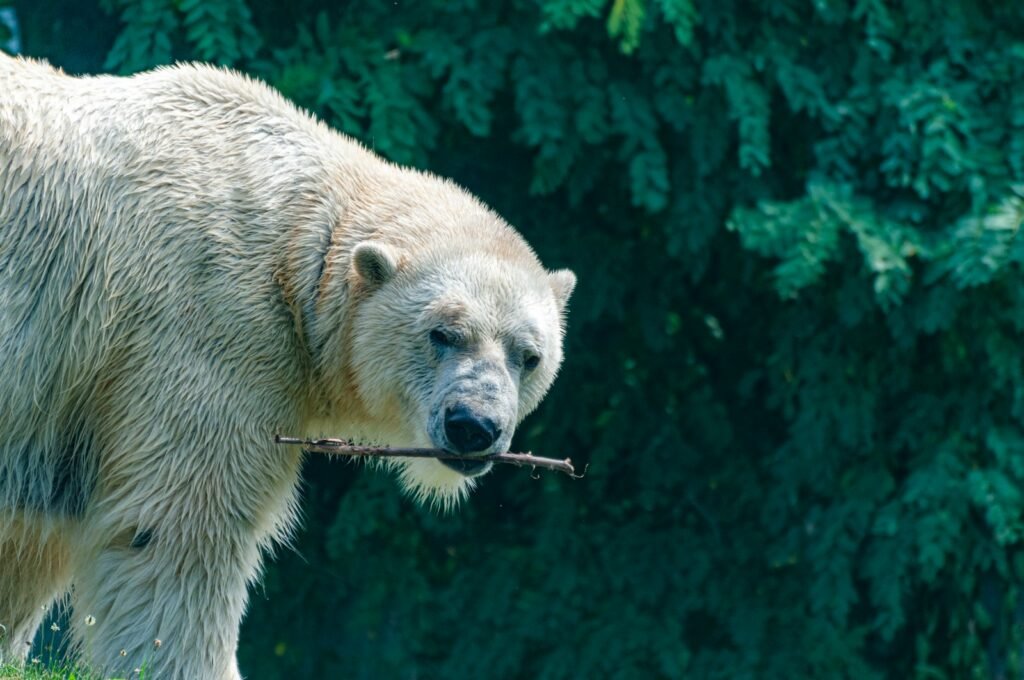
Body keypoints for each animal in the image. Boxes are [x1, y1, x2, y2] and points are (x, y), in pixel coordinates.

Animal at [0, 52, 575, 679]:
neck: (297, 239)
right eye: (441, 334)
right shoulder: (207, 328)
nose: (474, 425)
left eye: (529, 356)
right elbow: (178, 532)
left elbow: (34, 539)